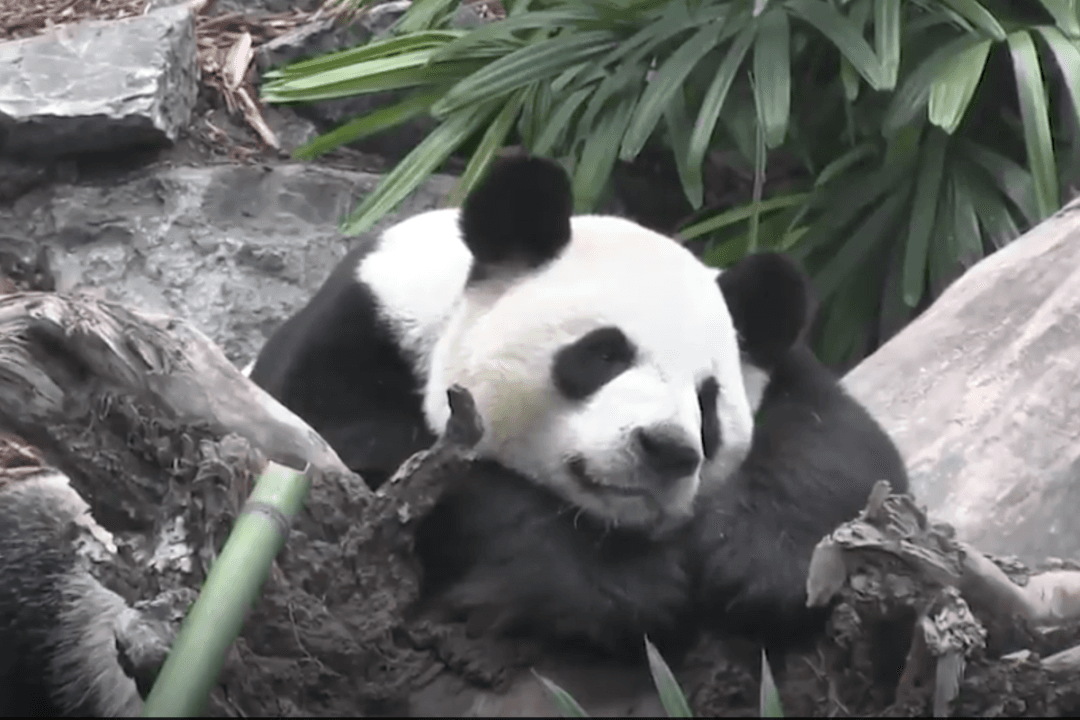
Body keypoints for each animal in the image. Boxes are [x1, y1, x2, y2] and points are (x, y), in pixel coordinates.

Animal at [249, 156, 908, 661]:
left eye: (708, 403)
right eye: (604, 353)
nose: (666, 449)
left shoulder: (790, 372)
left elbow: (841, 447)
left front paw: (758, 564)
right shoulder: (351, 345)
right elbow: (374, 469)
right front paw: (619, 585)